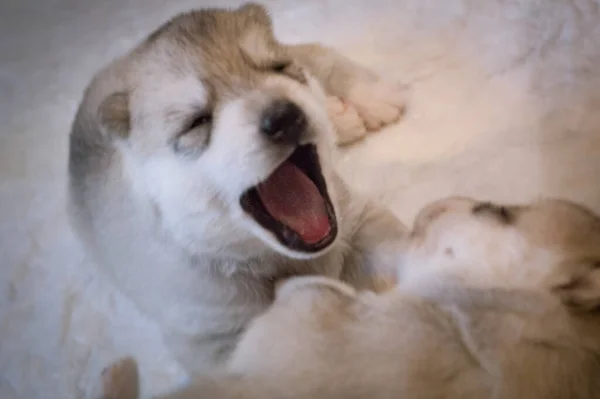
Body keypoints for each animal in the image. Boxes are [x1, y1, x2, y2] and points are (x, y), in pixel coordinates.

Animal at [70, 2, 408, 376]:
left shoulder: (357, 216)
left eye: (277, 68)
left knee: (313, 52)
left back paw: (367, 101)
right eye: (197, 122)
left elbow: (398, 246)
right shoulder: (213, 337)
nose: (284, 117)